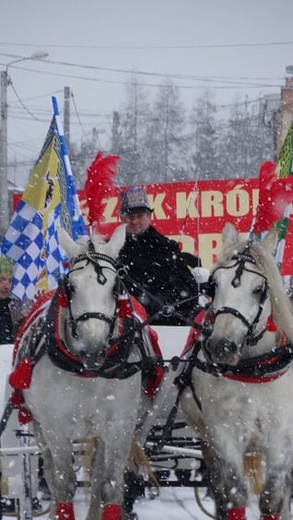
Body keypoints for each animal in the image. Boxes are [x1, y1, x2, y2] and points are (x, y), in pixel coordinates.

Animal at [11, 225, 145, 520]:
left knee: (97, 475)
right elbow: (64, 486)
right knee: (51, 474)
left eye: (115, 286)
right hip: (39, 425)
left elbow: (110, 485)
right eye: (71, 287)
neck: (90, 374)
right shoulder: (55, 424)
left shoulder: (120, 424)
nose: (93, 348)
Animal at [179, 223, 292, 520]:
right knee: (219, 489)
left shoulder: (281, 434)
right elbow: (234, 495)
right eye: (214, 284)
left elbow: (272, 499)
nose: (221, 345)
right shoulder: (222, 431)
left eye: (259, 288)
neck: (254, 368)